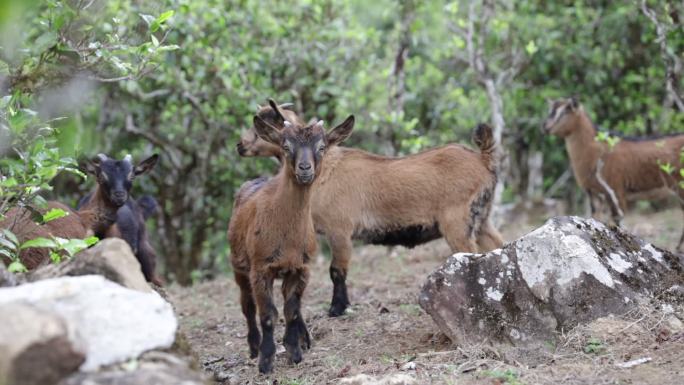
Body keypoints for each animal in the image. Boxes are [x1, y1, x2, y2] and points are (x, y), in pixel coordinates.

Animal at [231, 115, 358, 372]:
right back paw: (253, 347)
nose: (305, 168)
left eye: (322, 147)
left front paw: (294, 352)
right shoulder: (261, 269)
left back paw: (302, 338)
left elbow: (291, 311)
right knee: (247, 306)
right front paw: (266, 361)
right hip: (239, 267)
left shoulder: (301, 268)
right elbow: (268, 315)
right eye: (286, 146)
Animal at [236, 99, 502, 316]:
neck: (328, 169)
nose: (240, 145)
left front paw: (337, 309)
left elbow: (337, 271)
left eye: (261, 127)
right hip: (483, 220)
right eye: (285, 144)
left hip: (457, 224)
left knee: (470, 257)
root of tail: (482, 158)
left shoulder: (339, 230)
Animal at [544, 97, 684, 250]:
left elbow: (618, 220)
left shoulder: (616, 189)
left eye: (565, 111)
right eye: (551, 111)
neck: (595, 151)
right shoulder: (594, 192)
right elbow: (595, 217)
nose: (545, 127)